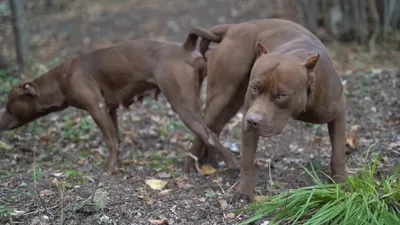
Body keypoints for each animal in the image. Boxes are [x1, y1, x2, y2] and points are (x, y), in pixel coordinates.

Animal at [0, 28, 238, 172]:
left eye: (9, 105)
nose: (0, 123)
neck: (60, 80)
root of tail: (185, 48)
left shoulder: (96, 109)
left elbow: (110, 141)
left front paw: (108, 169)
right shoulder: (110, 110)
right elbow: (117, 138)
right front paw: (118, 163)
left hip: (182, 105)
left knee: (210, 136)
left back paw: (232, 165)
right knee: (210, 132)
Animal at [188, 19, 346, 201]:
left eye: (281, 95)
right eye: (255, 88)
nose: (252, 121)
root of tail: (235, 27)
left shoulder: (339, 112)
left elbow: (338, 154)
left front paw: (342, 186)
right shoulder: (249, 114)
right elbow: (247, 159)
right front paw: (244, 192)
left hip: (232, 101)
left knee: (214, 128)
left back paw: (211, 159)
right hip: (220, 96)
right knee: (203, 127)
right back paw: (191, 163)